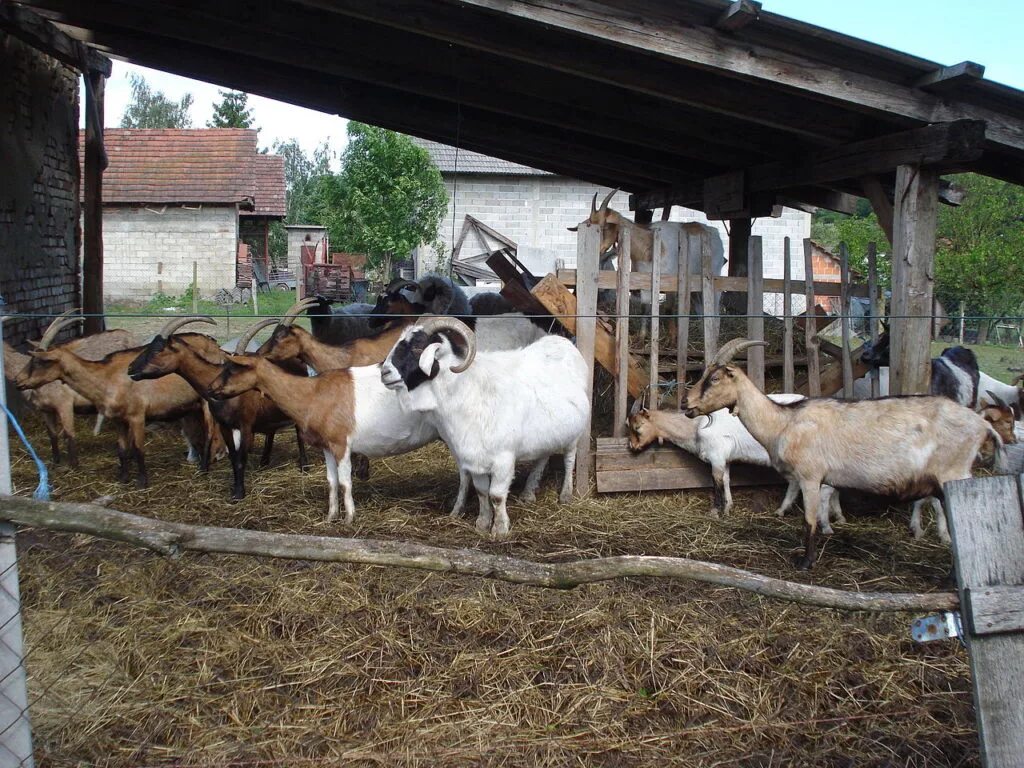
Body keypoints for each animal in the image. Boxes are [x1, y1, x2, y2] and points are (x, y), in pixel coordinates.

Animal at [380, 315, 589, 536]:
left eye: (418, 347)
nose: (384, 373)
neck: (467, 391)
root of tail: (562, 341)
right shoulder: (475, 460)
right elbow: (482, 492)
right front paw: (482, 523)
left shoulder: (504, 459)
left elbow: (496, 495)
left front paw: (500, 529)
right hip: (546, 434)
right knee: (543, 456)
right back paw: (528, 492)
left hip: (575, 433)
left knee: (569, 458)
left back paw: (565, 495)